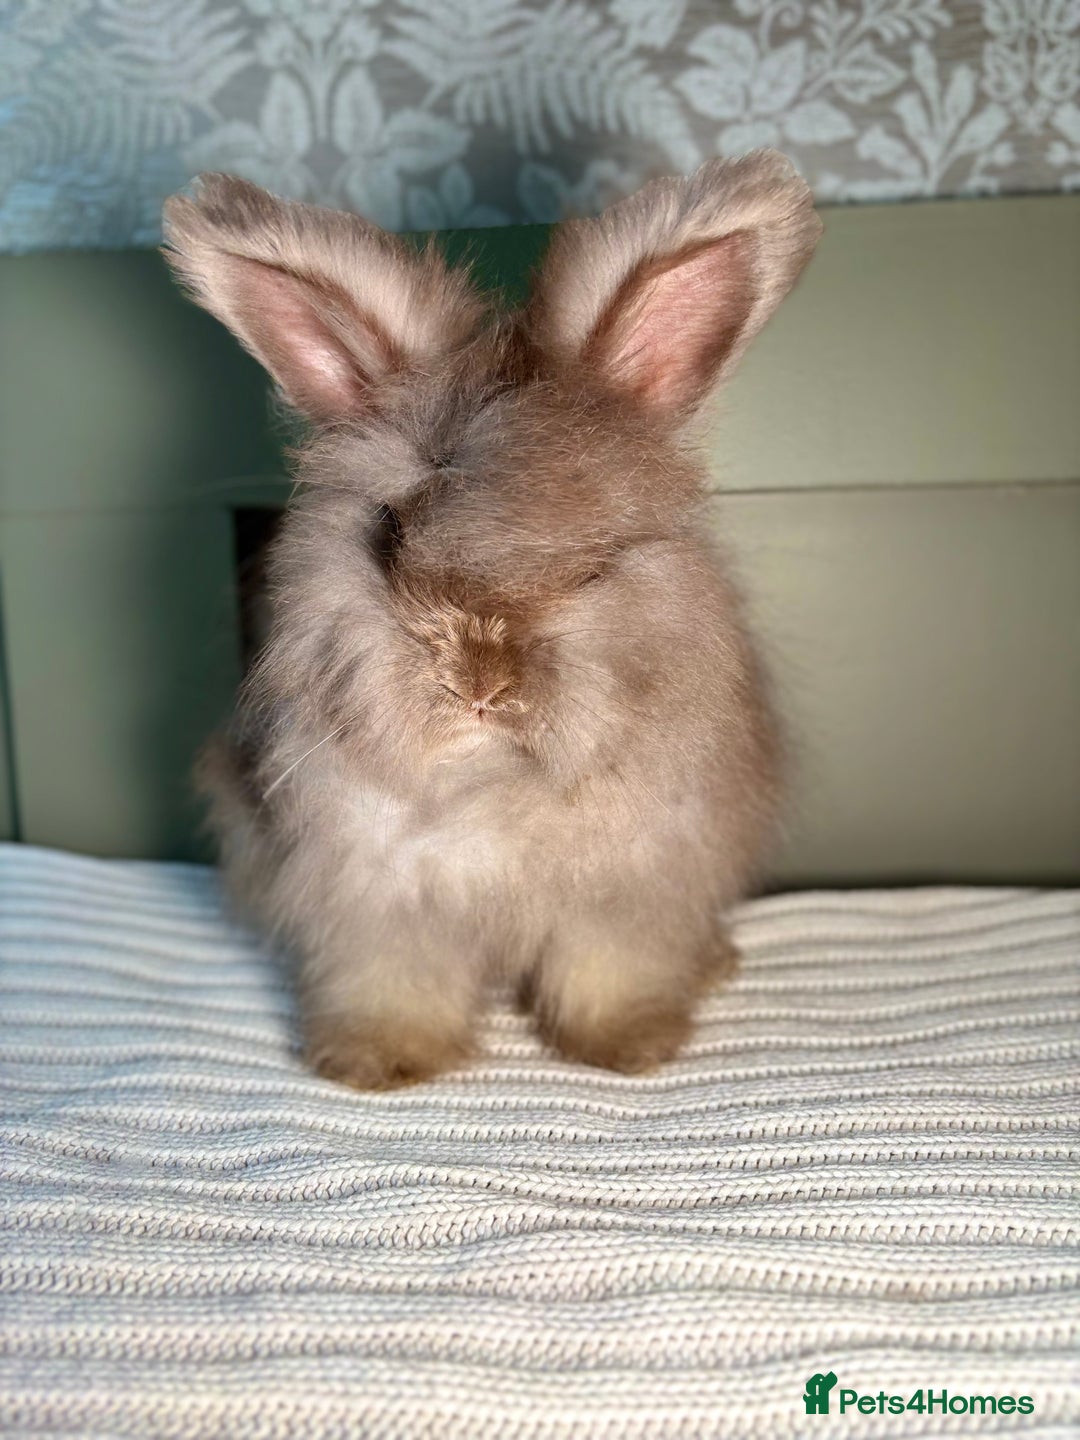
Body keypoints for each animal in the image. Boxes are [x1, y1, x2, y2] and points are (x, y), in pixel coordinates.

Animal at [163, 150, 821, 1089]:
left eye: (593, 561)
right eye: (390, 534)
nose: (480, 684)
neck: (492, 783)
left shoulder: (628, 890)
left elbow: (611, 971)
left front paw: (630, 1047)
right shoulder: (374, 898)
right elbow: (393, 981)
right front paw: (380, 1064)